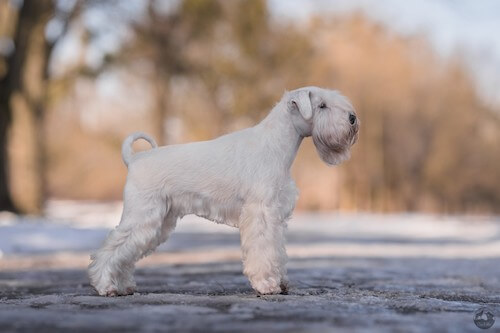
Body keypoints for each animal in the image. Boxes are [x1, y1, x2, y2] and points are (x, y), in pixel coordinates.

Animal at [88, 86, 358, 296]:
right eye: (322, 105)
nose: (353, 118)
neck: (275, 145)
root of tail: (134, 160)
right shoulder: (261, 212)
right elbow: (263, 251)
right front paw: (267, 285)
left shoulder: (276, 216)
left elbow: (277, 250)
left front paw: (281, 282)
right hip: (142, 216)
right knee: (110, 249)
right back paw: (105, 287)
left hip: (157, 223)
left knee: (126, 254)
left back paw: (123, 286)